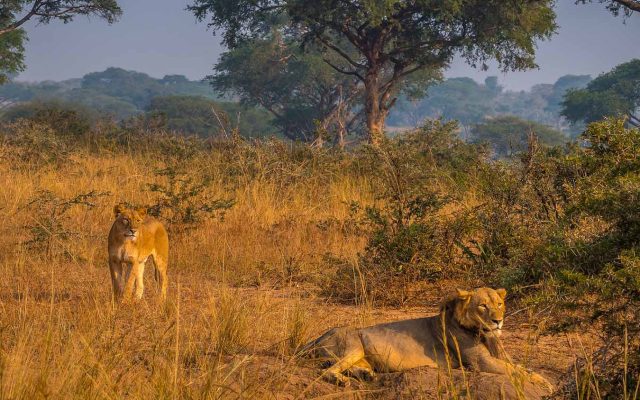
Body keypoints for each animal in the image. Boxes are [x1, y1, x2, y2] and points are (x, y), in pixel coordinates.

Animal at [301, 287, 552, 391]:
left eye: (499, 304)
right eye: (483, 306)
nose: (498, 321)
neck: (483, 333)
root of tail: (317, 337)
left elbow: (522, 368)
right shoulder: (482, 363)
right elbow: (519, 372)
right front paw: (547, 385)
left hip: (360, 355)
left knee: (348, 367)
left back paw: (366, 375)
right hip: (353, 344)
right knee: (326, 371)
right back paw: (342, 381)